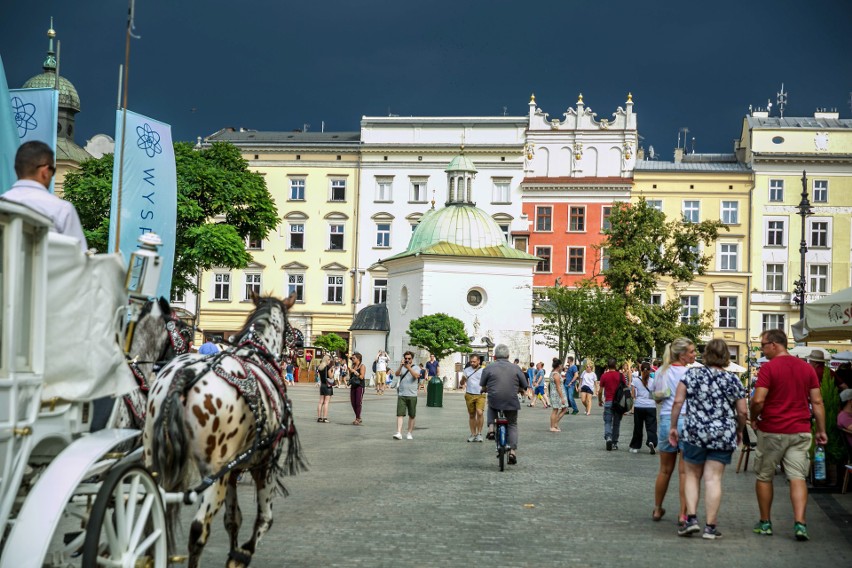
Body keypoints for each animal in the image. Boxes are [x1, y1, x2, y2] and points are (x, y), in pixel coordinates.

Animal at [145, 292, 304, 568]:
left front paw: (234, 552)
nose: (300, 346)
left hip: (154, 462)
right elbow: (264, 519)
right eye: (290, 328)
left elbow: (233, 519)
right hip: (213, 476)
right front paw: (241, 555)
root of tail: (185, 375)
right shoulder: (265, 464)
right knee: (198, 530)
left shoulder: (233, 470)